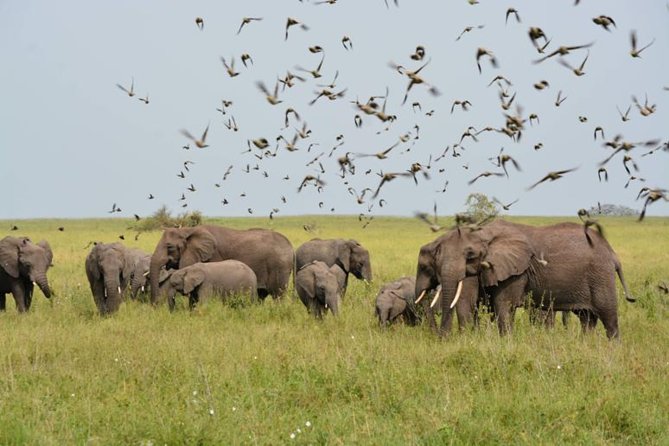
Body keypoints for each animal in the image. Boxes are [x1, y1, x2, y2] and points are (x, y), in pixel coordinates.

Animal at [149, 225, 293, 303]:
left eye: (170, 247)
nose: (155, 306)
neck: (188, 230)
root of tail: (290, 246)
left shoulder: (212, 256)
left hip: (279, 267)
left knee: (277, 294)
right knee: (261, 295)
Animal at [416, 219, 634, 339]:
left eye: (470, 255)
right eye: (432, 265)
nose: (440, 338)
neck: (485, 233)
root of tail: (612, 253)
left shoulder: (516, 271)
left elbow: (504, 305)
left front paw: (504, 342)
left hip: (601, 275)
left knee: (608, 317)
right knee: (586, 318)